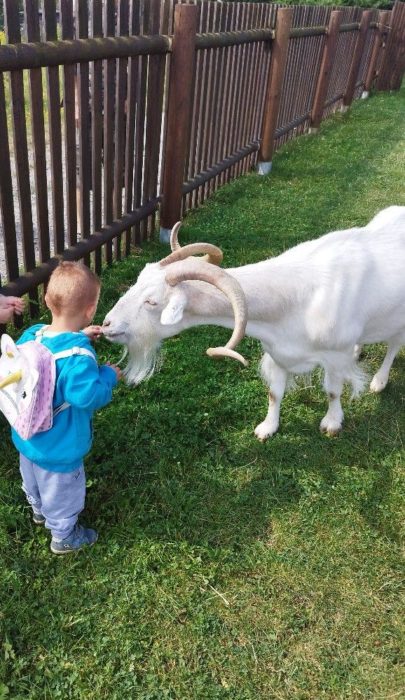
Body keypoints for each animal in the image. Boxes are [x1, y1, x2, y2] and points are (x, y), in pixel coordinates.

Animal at [102, 205, 404, 440]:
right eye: (138, 279)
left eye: (152, 301)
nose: (106, 325)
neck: (298, 299)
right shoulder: (279, 353)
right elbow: (274, 393)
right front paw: (267, 428)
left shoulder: (335, 355)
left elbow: (332, 391)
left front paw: (332, 423)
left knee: (393, 346)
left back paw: (379, 381)